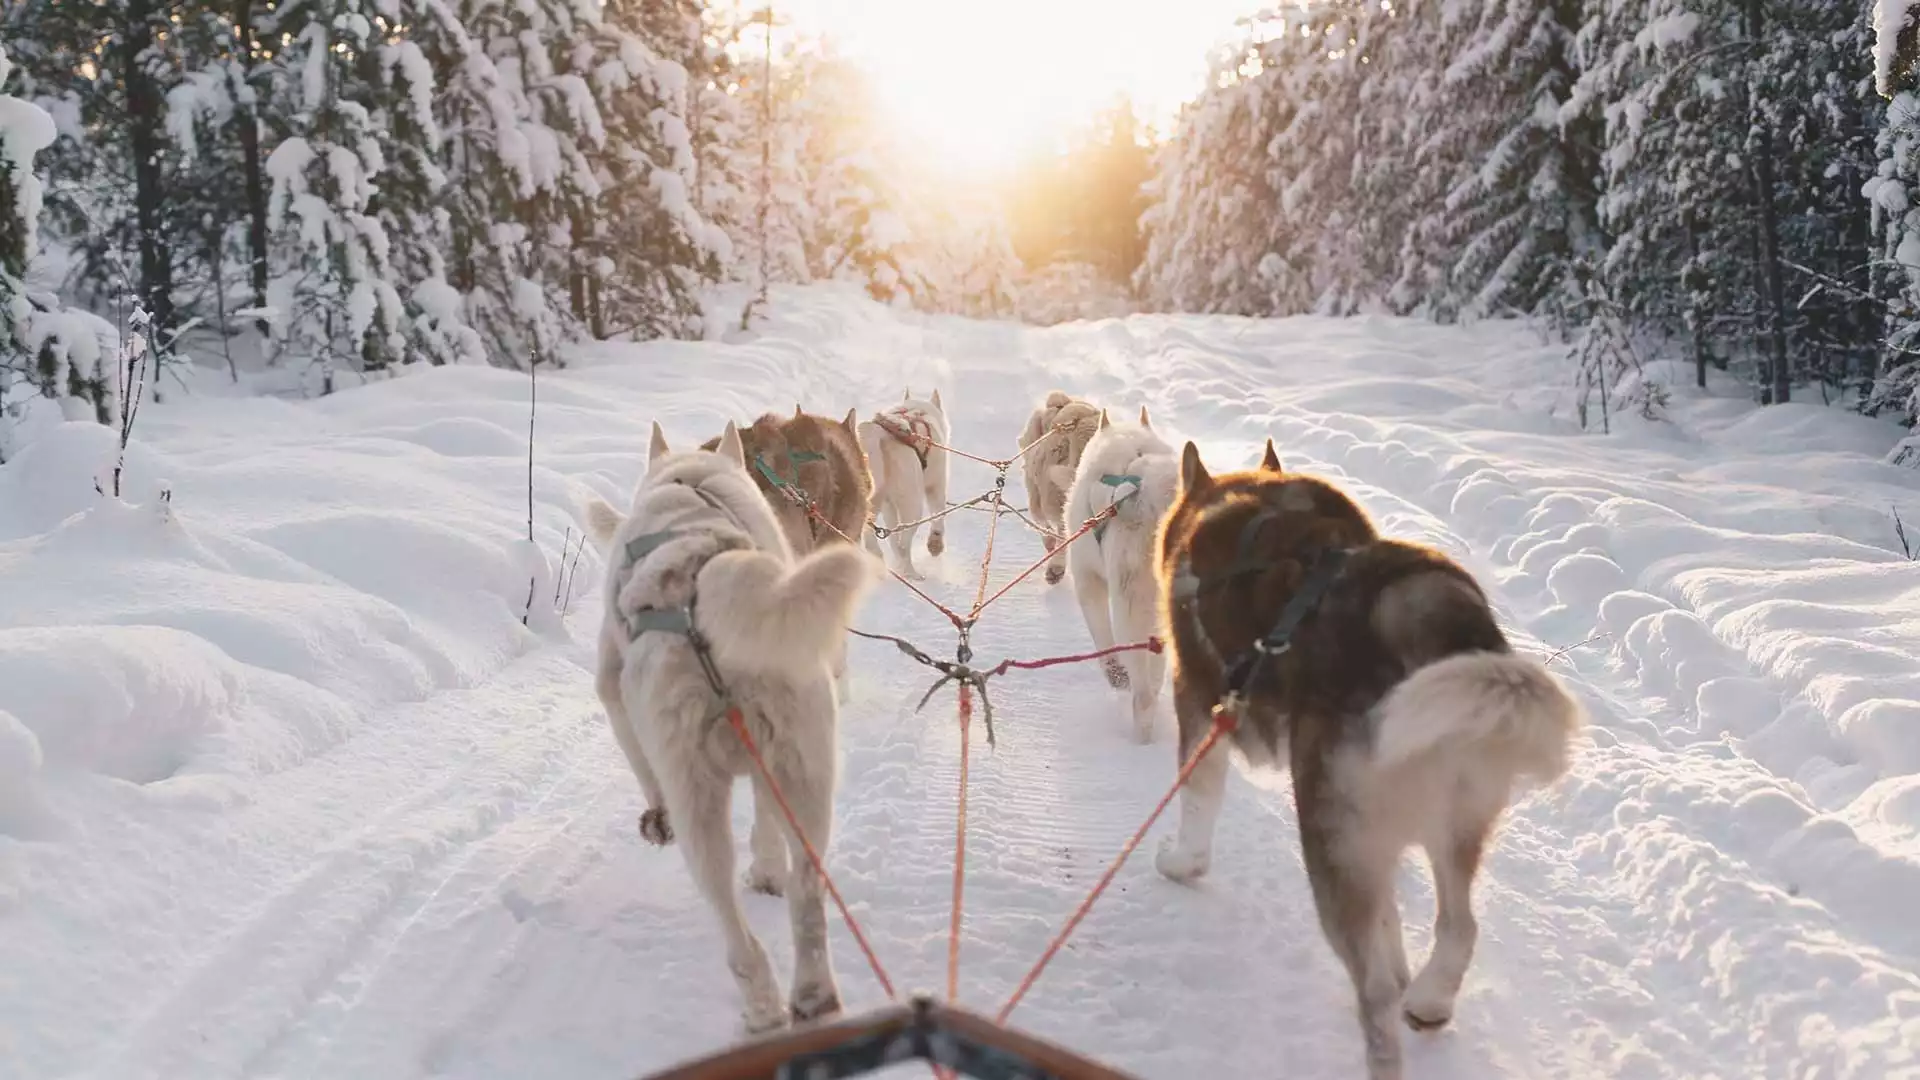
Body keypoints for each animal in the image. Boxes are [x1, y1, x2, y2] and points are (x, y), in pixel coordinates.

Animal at [583, 420, 883, 1037]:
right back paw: (813, 996)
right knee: (807, 897)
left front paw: (655, 820)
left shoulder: (612, 688)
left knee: (733, 924)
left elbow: (636, 757)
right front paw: (767, 870)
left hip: (697, 797)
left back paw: (763, 1009)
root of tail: (703, 584)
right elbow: (766, 828)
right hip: (806, 770)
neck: (687, 482)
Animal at [856, 388, 952, 576]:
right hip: (913, 504)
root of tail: (880, 435)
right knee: (904, 543)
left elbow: (893, 535)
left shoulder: (889, 504)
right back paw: (910, 573)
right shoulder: (936, 484)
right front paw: (935, 544)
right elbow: (938, 515)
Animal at [1144, 438, 1582, 1076]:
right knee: (1458, 927)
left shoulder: (1202, 703)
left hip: (1328, 839)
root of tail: (1420, 613)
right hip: (1448, 824)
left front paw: (1179, 864)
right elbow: (1392, 920)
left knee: (1374, 993)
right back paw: (1427, 999)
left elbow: (1197, 811)